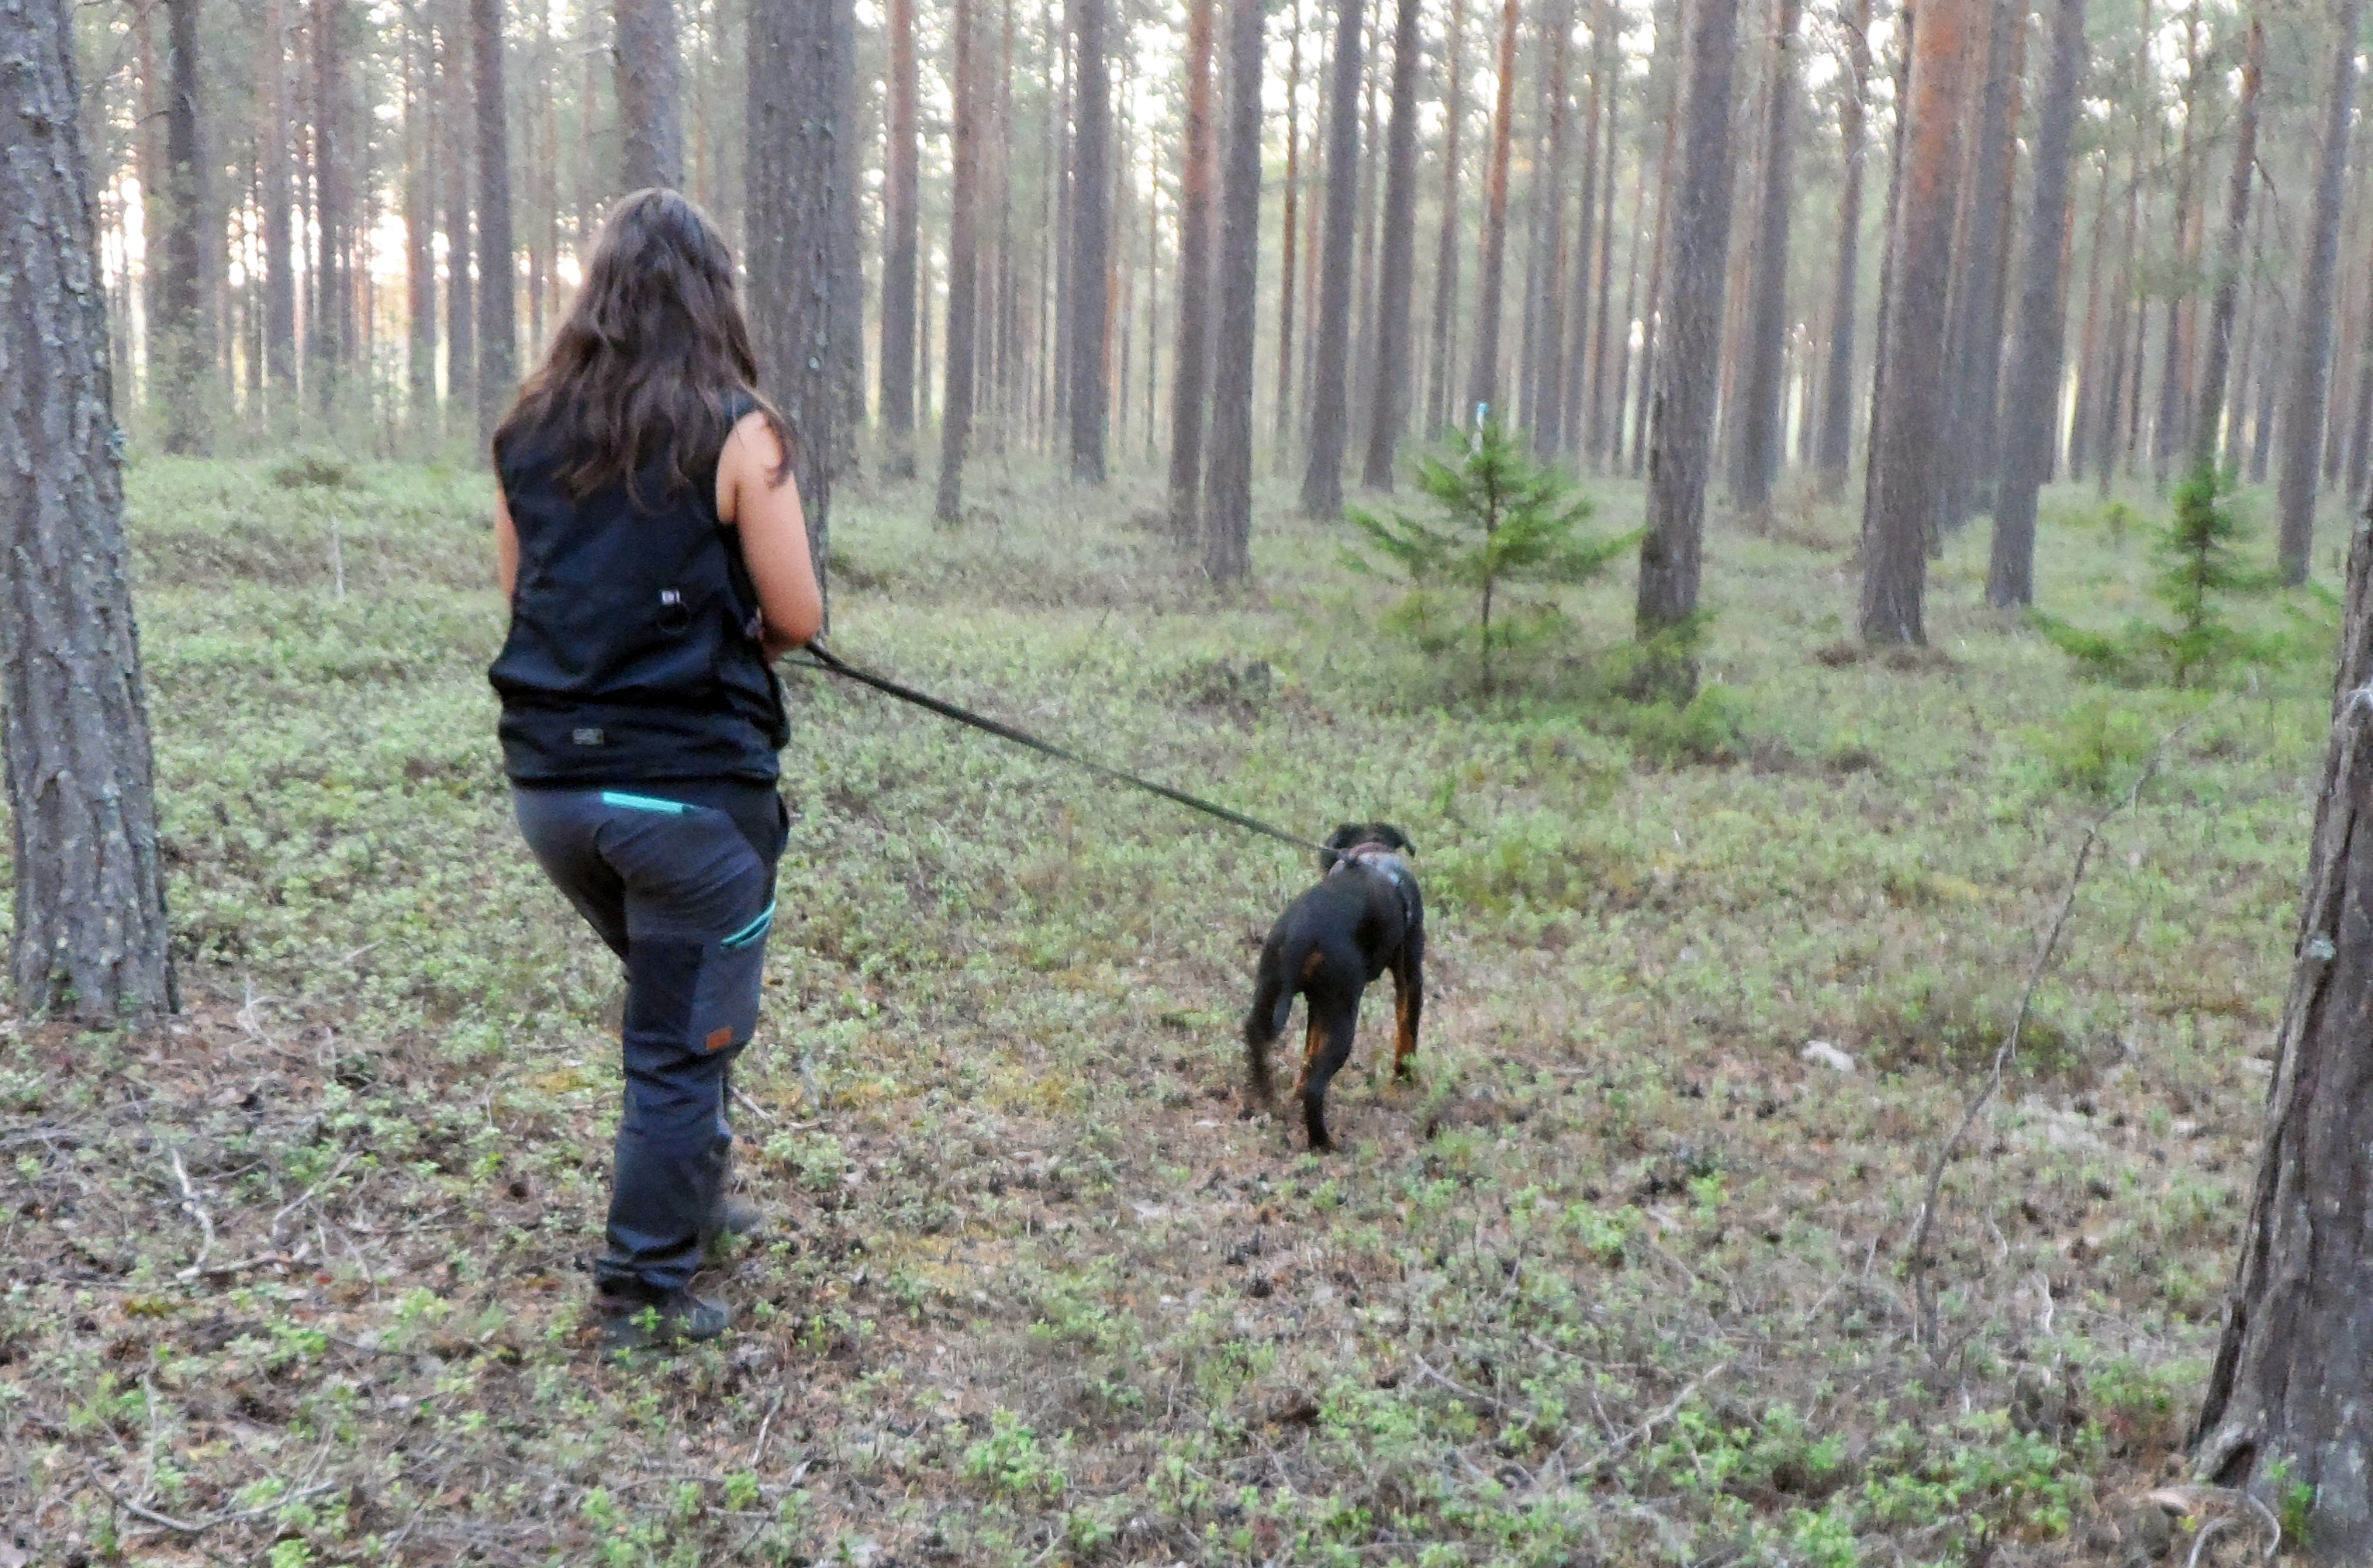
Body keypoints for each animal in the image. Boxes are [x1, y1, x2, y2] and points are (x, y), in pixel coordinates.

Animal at [1243, 823, 1425, 1151]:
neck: (1371, 855)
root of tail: (1299, 935)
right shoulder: (1411, 975)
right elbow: (1407, 1033)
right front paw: (1404, 1081)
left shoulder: (1317, 1004)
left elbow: (1308, 1052)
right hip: (1343, 1012)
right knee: (1316, 1088)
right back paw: (1324, 1143)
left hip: (1272, 990)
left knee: (1255, 1036)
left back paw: (1267, 1096)